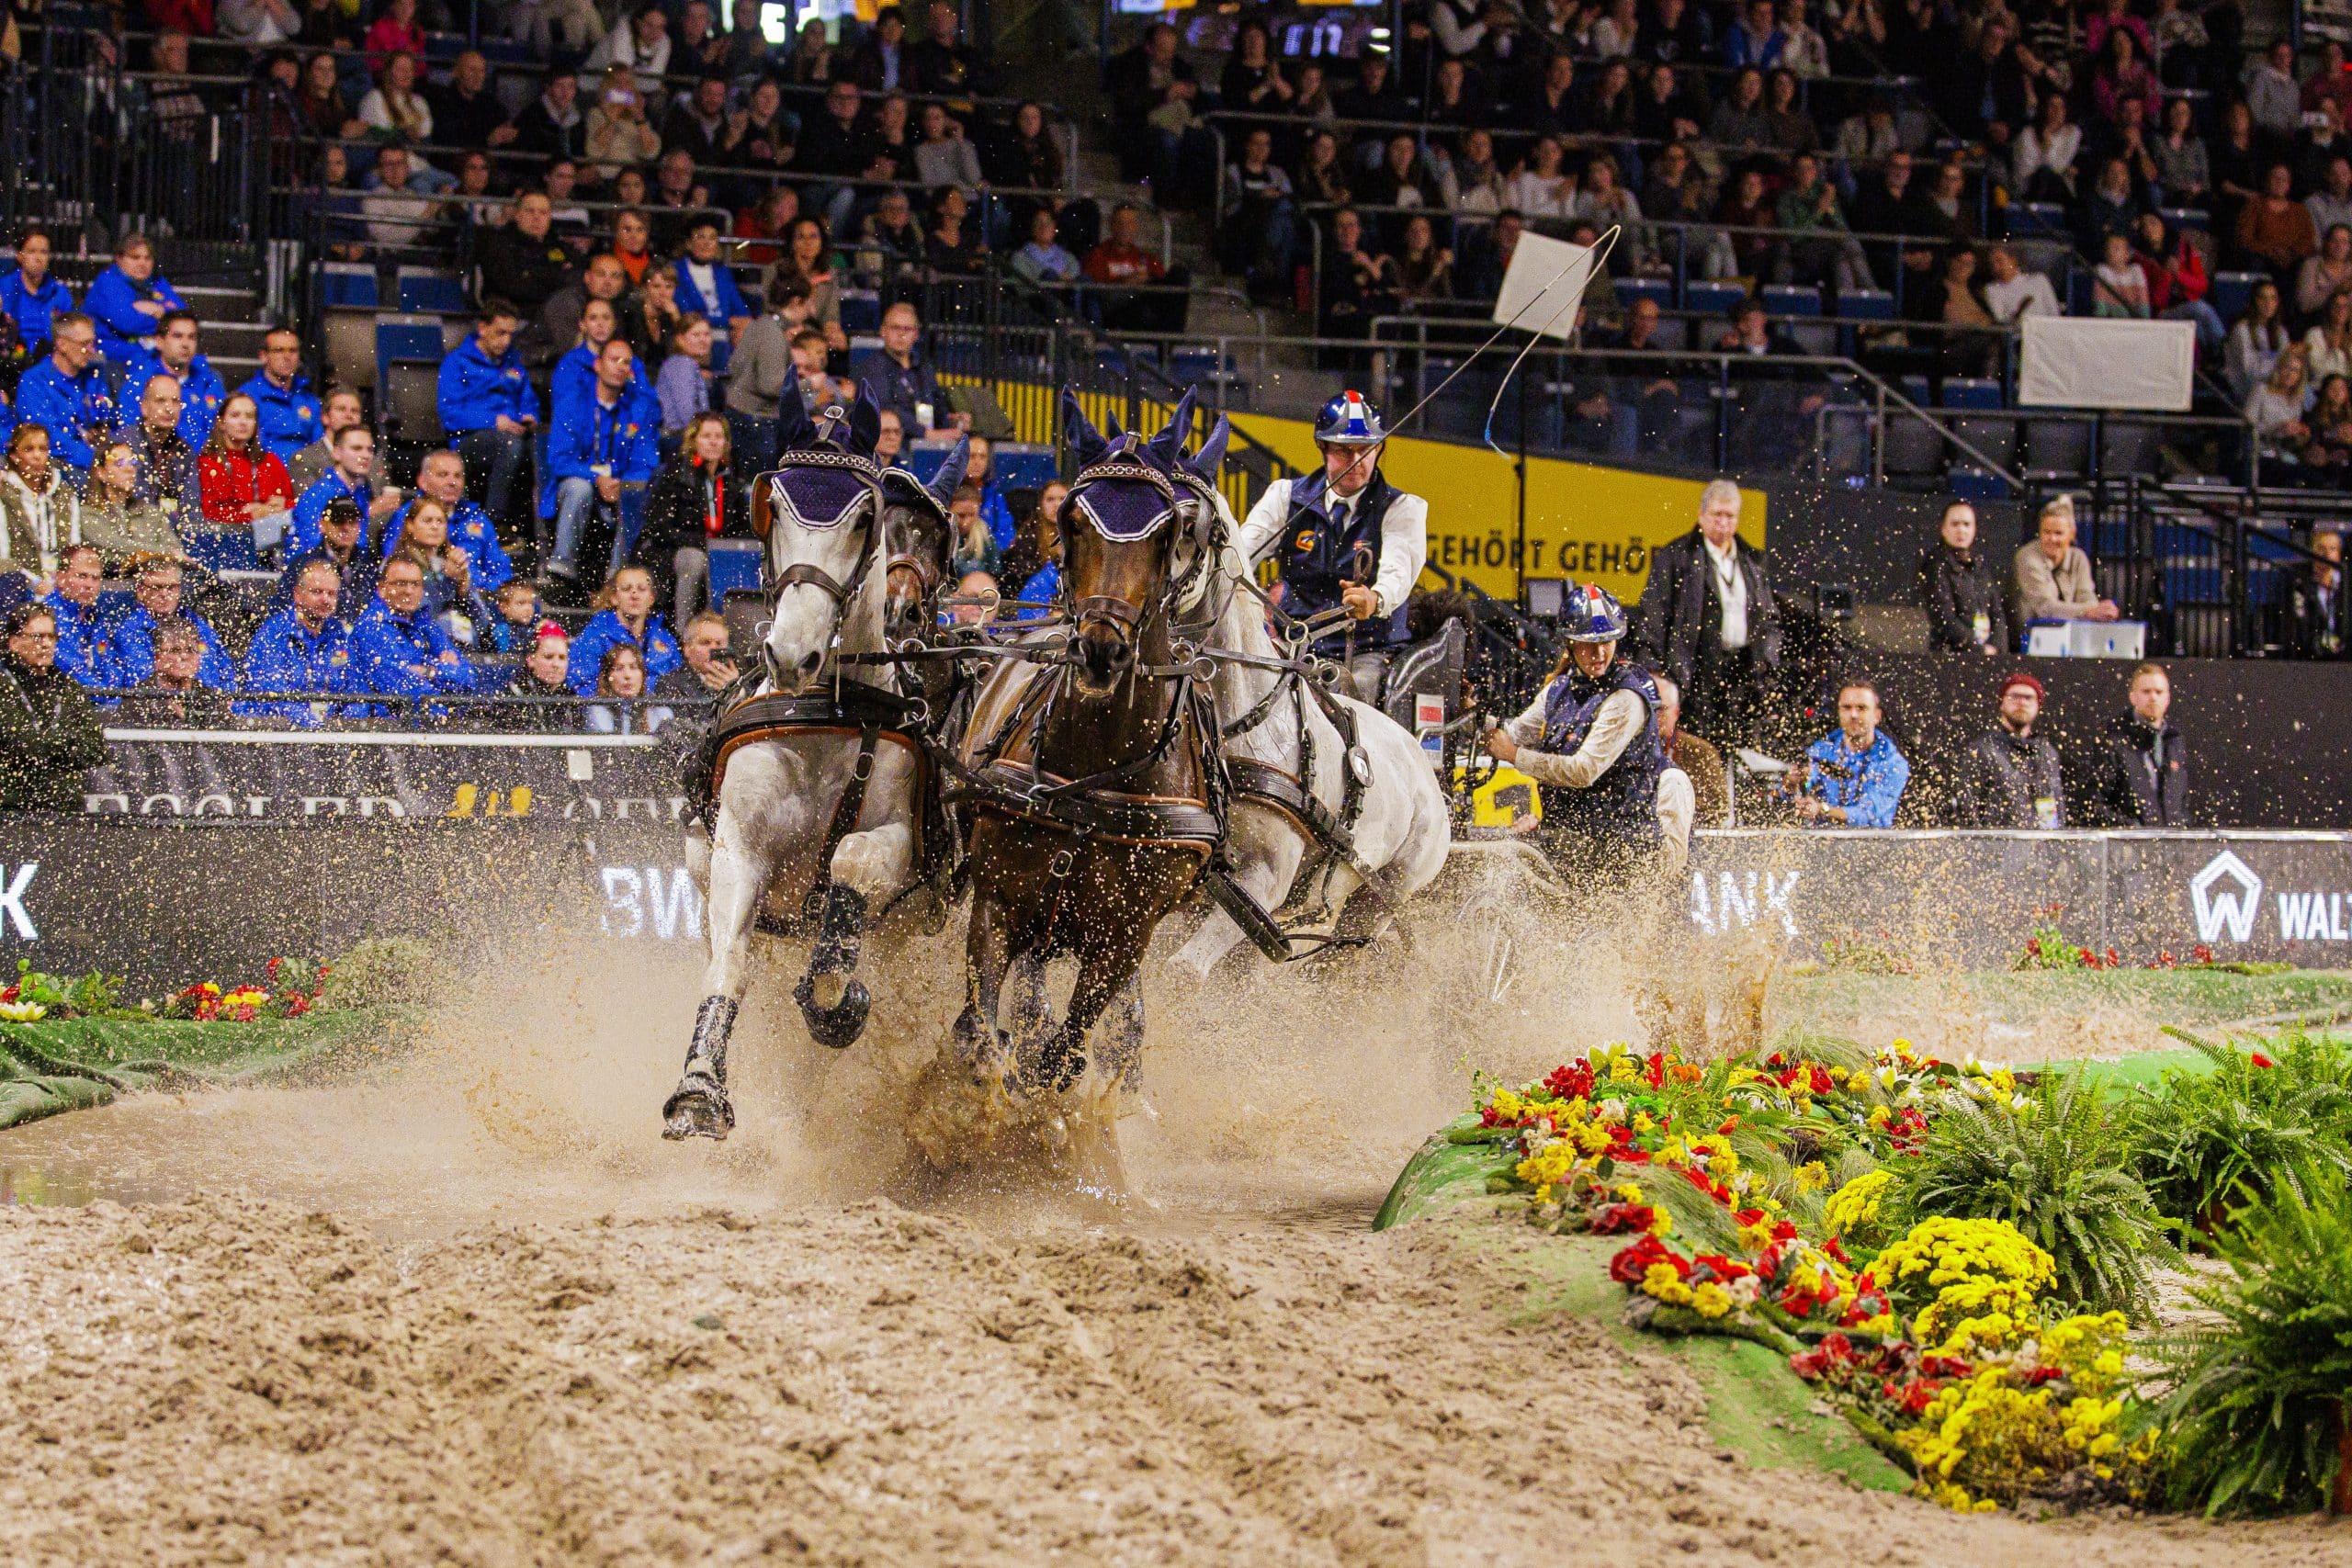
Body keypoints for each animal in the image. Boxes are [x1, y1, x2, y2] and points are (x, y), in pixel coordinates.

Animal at [662, 400, 964, 1146]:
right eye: (774, 507)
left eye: (860, 520)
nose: (792, 652)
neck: (827, 711)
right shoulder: (738, 848)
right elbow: (730, 965)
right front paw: (699, 1088)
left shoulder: (899, 843)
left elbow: (849, 876)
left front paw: (833, 999)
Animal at [945, 388, 1223, 1100]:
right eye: (1072, 520)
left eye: (1170, 532)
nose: (1101, 648)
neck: (1094, 775)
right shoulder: (998, 903)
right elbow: (980, 1034)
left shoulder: (1123, 939)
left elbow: (1063, 1054)